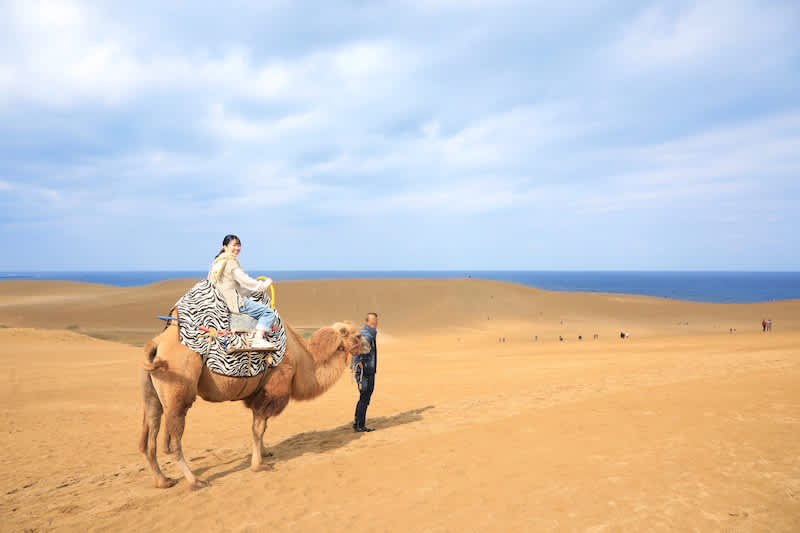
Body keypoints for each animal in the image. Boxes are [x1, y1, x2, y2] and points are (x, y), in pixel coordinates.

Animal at [139, 316, 370, 490]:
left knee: (150, 436)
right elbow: (258, 429)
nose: (368, 345)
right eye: (358, 335)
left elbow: (260, 428)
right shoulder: (271, 391)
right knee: (173, 441)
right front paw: (259, 465)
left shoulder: (258, 394)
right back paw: (195, 482)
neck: (303, 360)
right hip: (178, 393)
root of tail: (156, 344)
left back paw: (163, 481)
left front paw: (265, 452)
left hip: (152, 396)